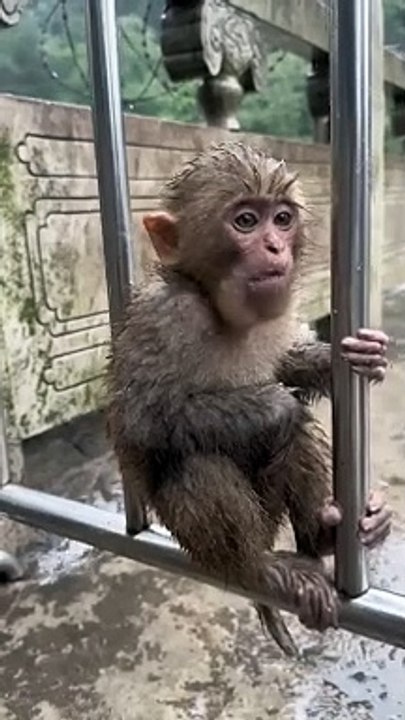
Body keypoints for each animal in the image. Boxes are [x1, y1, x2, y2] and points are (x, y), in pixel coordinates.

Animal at [107, 142, 391, 656]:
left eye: (281, 219)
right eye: (244, 222)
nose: (275, 247)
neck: (220, 310)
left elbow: (288, 367)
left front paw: (360, 356)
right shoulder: (166, 316)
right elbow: (142, 420)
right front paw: (274, 406)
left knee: (294, 442)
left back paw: (321, 535)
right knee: (198, 466)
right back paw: (262, 568)